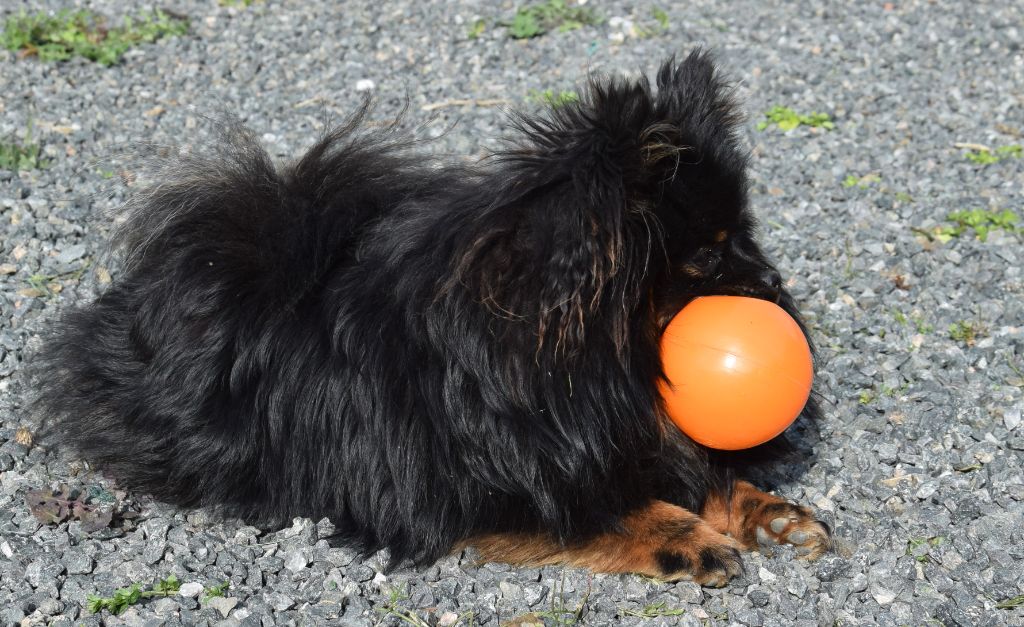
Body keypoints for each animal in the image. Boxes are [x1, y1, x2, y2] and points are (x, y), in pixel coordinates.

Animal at [39, 51, 831, 586]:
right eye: (709, 254)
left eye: (745, 235)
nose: (774, 282)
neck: (581, 359)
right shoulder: (473, 488)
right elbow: (609, 508)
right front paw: (687, 537)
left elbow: (697, 470)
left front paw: (765, 509)